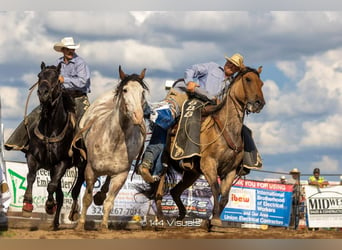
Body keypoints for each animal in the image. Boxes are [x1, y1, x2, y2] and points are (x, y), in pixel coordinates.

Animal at [21, 61, 86, 229]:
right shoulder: (33, 157)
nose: (43, 93)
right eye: (39, 76)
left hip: (82, 165)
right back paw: (55, 223)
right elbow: (31, 176)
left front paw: (50, 206)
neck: (50, 129)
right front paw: (27, 204)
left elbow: (51, 186)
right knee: (61, 195)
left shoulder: (62, 162)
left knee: (76, 190)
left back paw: (73, 213)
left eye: (56, 78)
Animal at [74, 66, 148, 230]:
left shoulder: (121, 175)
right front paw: (80, 225)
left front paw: (103, 225)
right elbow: (87, 198)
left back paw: (101, 195)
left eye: (142, 92)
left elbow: (109, 202)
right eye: (125, 90)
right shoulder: (91, 170)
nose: (138, 116)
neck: (114, 140)